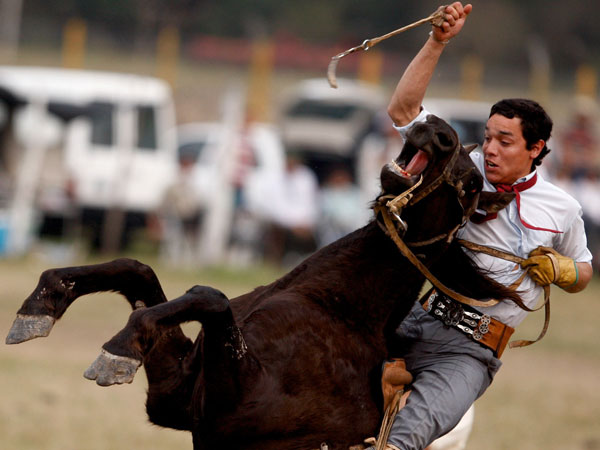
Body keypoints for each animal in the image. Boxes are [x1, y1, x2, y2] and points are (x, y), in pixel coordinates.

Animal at [5, 115, 516, 450]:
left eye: (473, 184)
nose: (437, 129)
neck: (336, 306)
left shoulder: (235, 405)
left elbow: (208, 298)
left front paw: (118, 347)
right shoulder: (175, 396)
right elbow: (140, 272)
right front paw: (43, 301)